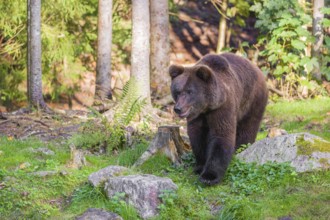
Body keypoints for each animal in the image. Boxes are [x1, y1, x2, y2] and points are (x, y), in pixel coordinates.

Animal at [169, 52, 266, 185]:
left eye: (189, 91)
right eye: (177, 91)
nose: (178, 108)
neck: (207, 107)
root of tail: (258, 69)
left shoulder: (223, 108)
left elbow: (221, 135)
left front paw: (209, 176)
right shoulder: (197, 116)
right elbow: (197, 136)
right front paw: (200, 166)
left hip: (252, 100)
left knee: (248, 127)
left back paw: (240, 149)